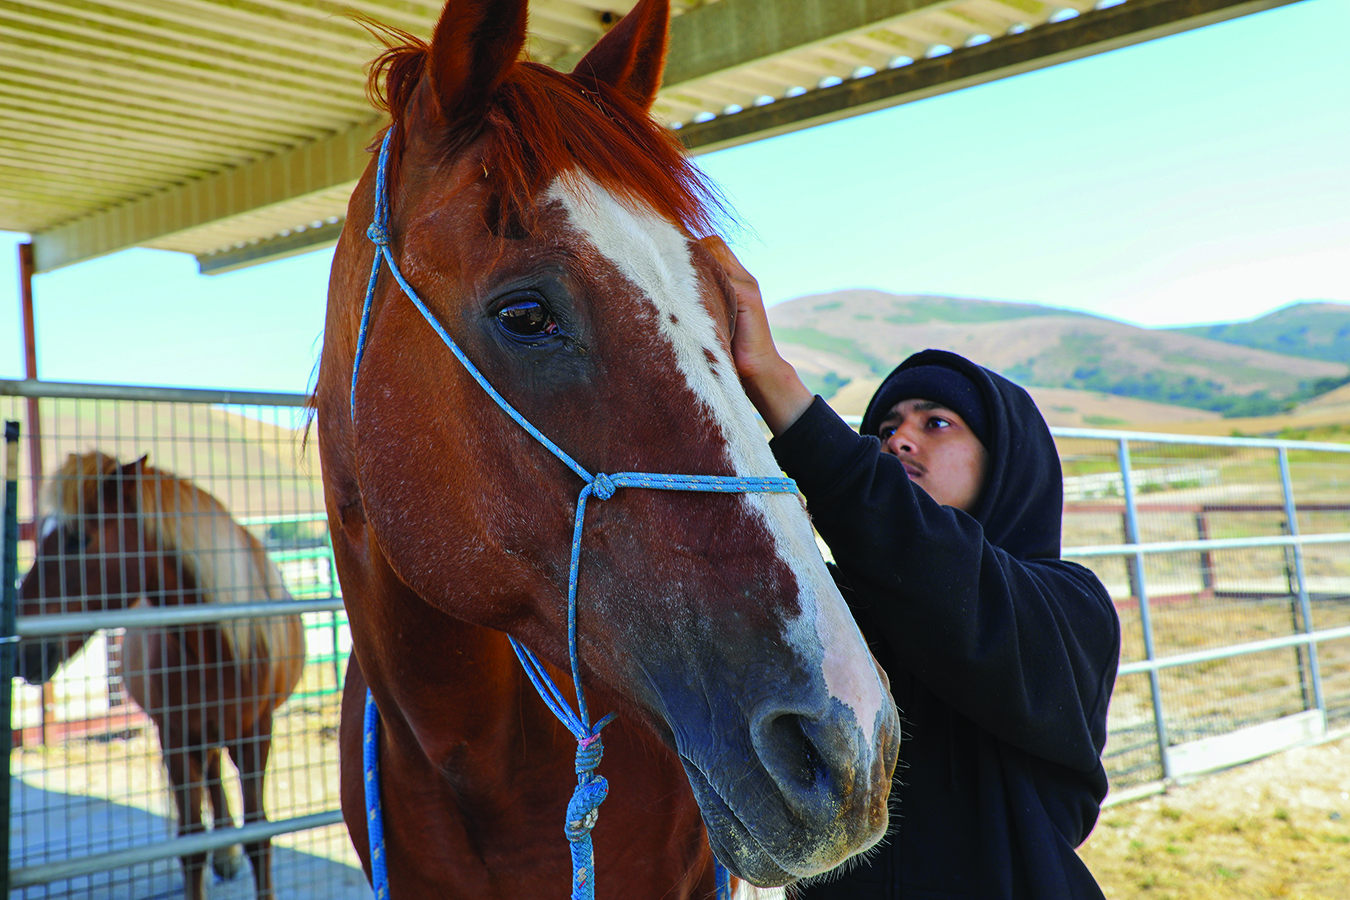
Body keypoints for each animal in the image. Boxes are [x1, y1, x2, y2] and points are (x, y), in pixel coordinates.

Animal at [18, 452, 307, 900]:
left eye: (78, 539)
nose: (22, 654)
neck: (216, 649)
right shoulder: (175, 736)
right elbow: (192, 844)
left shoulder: (256, 732)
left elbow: (259, 834)